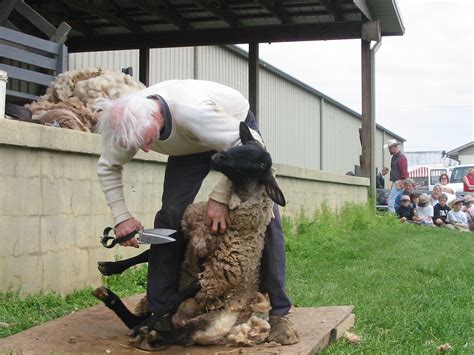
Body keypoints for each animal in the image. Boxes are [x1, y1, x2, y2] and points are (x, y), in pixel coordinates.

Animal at [92, 122, 286, 350]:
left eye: (261, 165)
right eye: (242, 146)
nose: (220, 156)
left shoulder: (213, 276)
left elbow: (172, 299)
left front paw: (146, 326)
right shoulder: (186, 238)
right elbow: (148, 255)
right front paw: (111, 267)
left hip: (206, 323)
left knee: (178, 334)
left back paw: (147, 331)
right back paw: (111, 297)